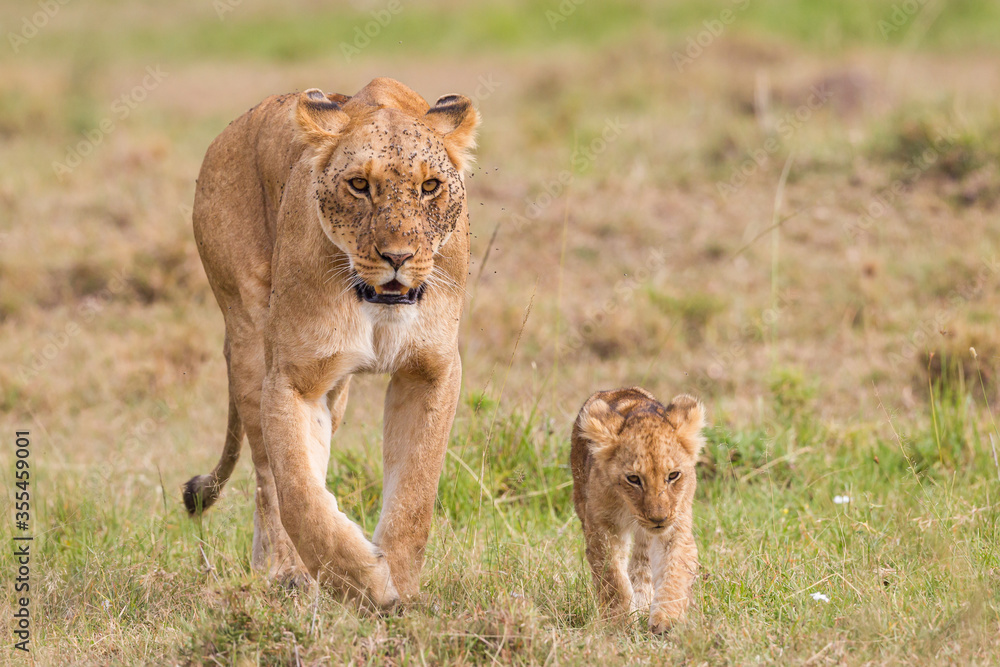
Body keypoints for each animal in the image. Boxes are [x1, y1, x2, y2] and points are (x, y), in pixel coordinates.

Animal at [182, 77, 479, 609]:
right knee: (268, 477)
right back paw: (285, 571)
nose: (398, 257)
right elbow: (297, 491)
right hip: (249, 340)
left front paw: (400, 587)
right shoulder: (292, 377)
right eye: (359, 185)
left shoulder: (431, 370)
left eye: (430, 186)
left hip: (334, 391)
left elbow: (416, 490)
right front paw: (363, 583)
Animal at [571, 387, 706, 633]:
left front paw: (666, 621)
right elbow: (613, 577)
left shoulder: (676, 525)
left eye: (673, 475)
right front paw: (620, 624)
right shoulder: (602, 528)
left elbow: (675, 570)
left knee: (642, 563)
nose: (658, 518)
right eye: (633, 479)